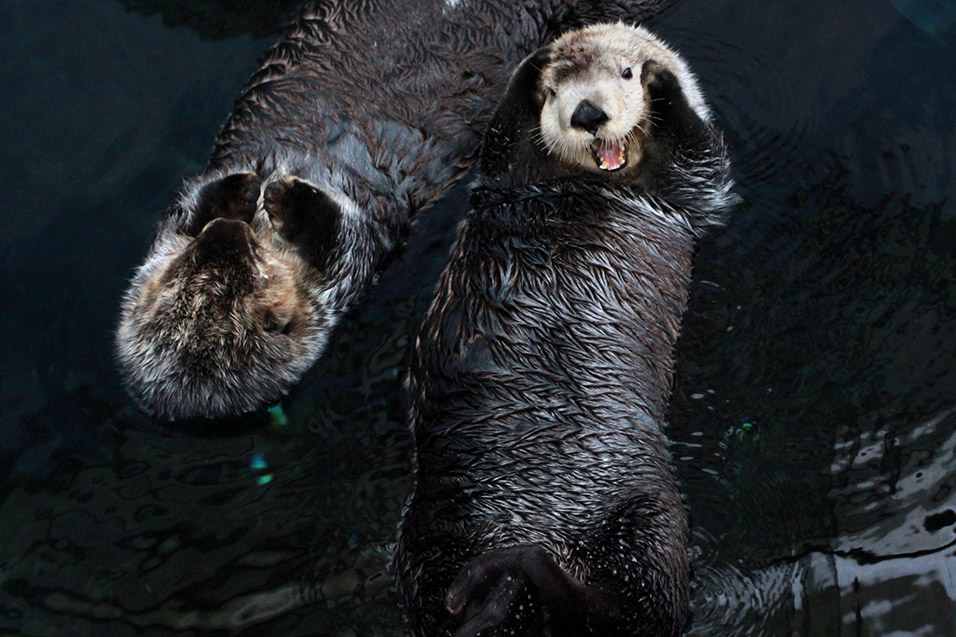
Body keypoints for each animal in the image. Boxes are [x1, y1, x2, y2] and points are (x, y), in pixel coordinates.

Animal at [114, 0, 680, 420]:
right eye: (258, 301)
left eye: (181, 275)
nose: (228, 233)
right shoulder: (347, 272)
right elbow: (344, 238)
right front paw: (280, 196)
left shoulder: (173, 225)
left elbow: (190, 204)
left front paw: (241, 188)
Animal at [392, 22, 736, 632]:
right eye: (556, 93)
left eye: (624, 74)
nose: (587, 112)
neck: (592, 183)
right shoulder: (504, 178)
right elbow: (500, 140)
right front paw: (536, 61)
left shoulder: (689, 196)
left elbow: (703, 161)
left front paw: (661, 81)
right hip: (429, 529)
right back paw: (487, 592)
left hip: (651, 520)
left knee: (643, 612)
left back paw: (516, 577)